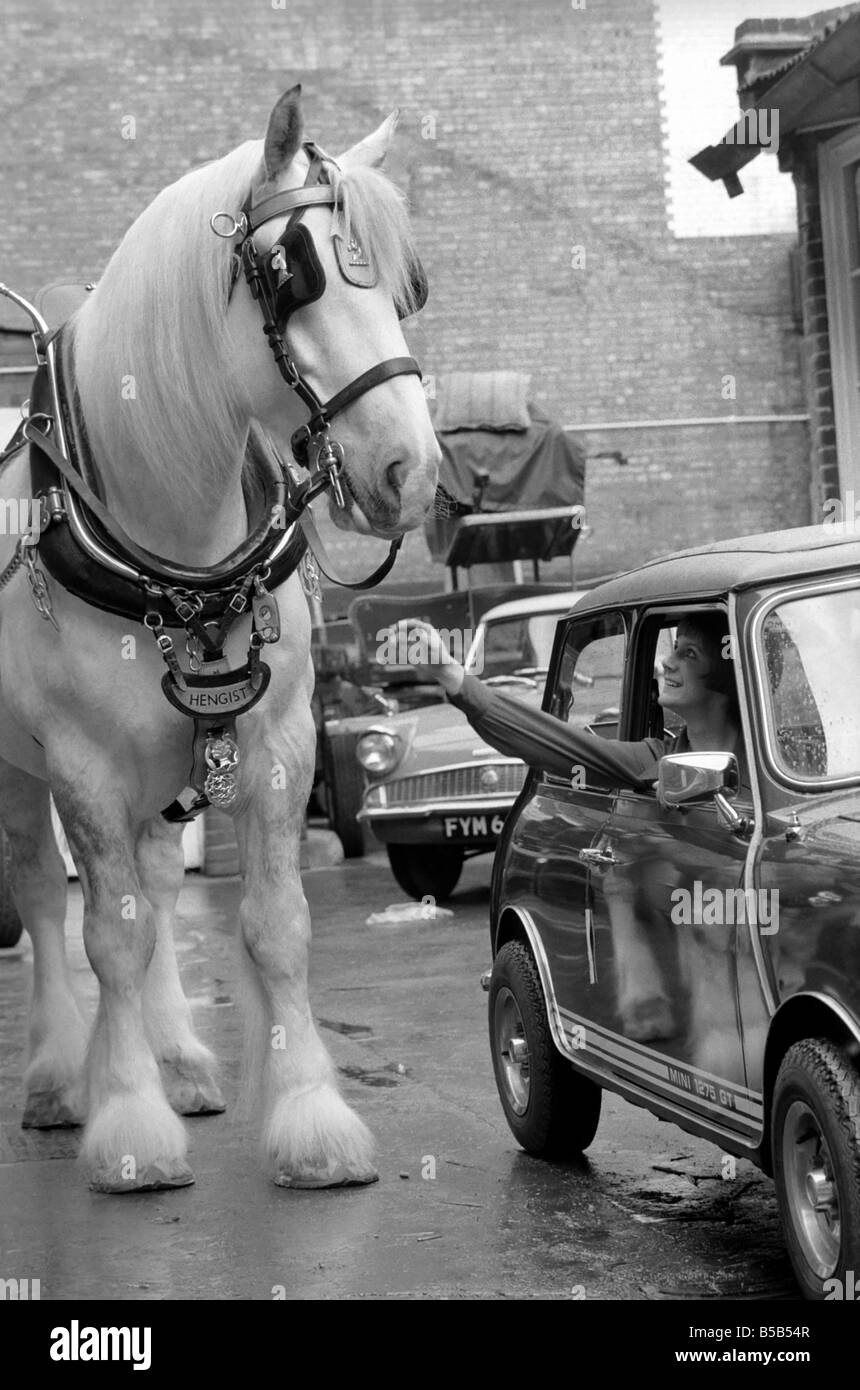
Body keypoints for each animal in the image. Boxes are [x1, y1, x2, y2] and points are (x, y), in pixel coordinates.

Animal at [0, 86, 441, 1189]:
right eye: (292, 272)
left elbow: (275, 927)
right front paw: (126, 1122)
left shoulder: (277, 742)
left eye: (406, 287)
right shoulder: (79, 761)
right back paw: (58, 1076)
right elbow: (105, 934)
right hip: (20, 767)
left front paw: (311, 1120)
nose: (410, 471)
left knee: (160, 885)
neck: (174, 547)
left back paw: (180, 1058)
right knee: (41, 891)